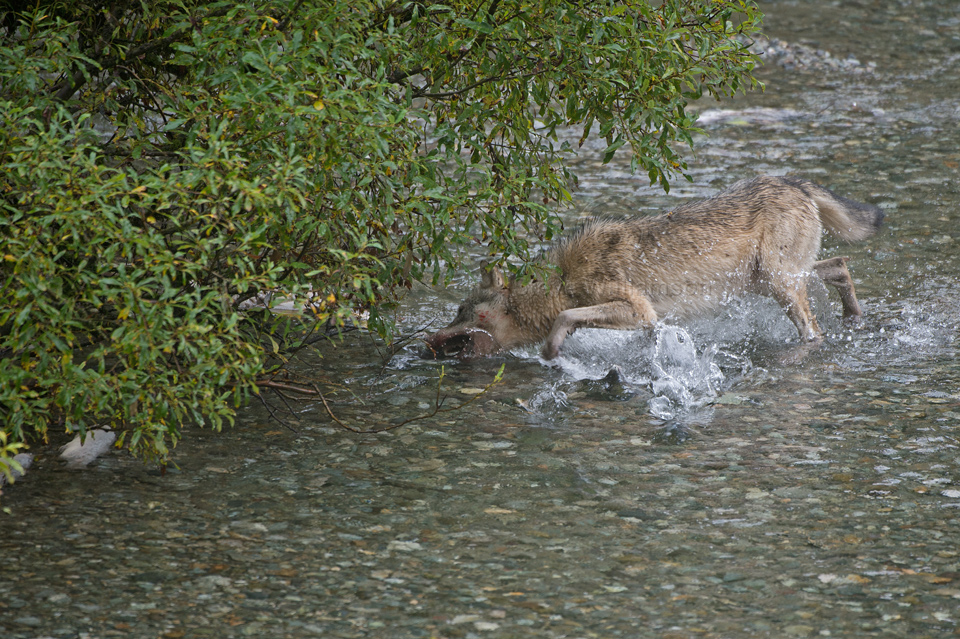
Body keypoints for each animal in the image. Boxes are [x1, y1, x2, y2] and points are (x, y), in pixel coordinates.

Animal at [423, 176, 884, 360]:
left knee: (814, 327)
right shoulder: (644, 318)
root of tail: (794, 182)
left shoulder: (640, 310)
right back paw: (854, 318)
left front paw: (552, 349)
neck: (561, 281)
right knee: (839, 265)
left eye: (461, 312)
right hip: (769, 282)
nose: (428, 338)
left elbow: (567, 317)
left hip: (779, 285)